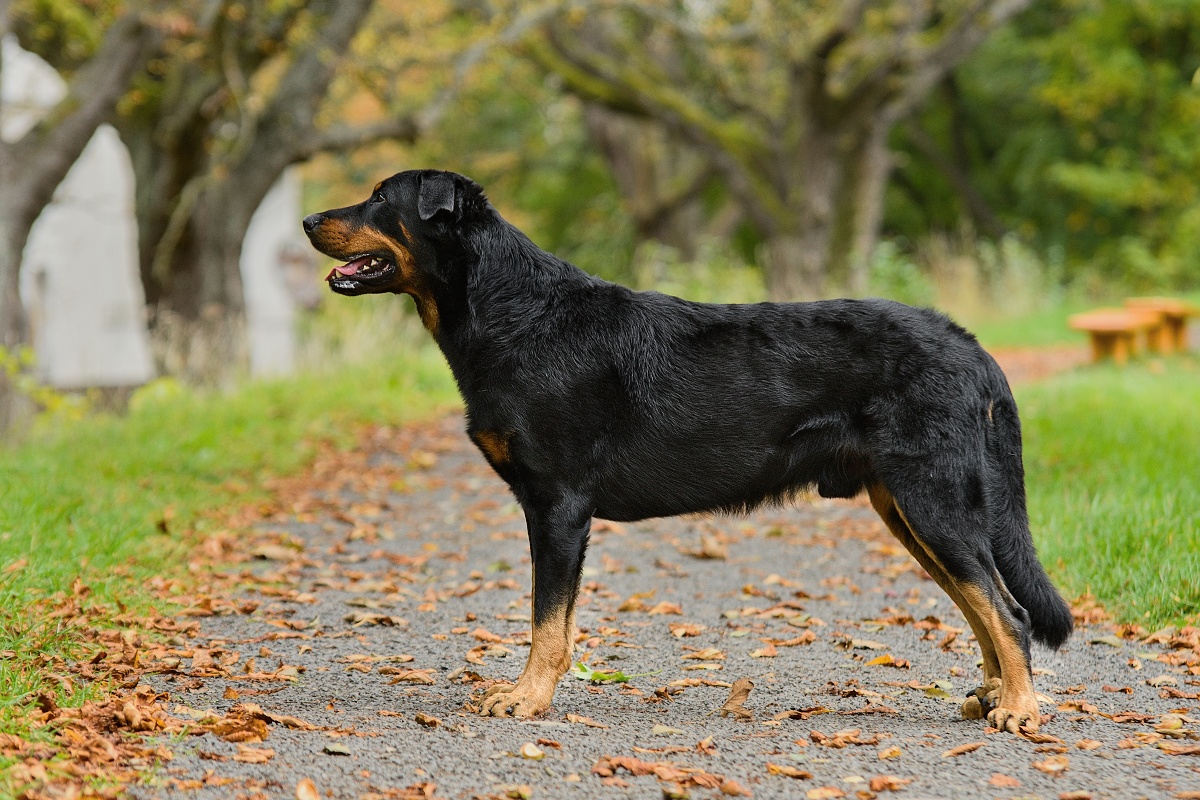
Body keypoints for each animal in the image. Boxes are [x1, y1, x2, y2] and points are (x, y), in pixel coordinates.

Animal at [304, 172, 1075, 734]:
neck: (514, 313)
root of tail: (970, 346)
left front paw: (525, 699)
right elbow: (557, 620)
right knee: (981, 603)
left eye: (381, 197)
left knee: (1007, 611)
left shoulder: (557, 506)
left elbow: (547, 622)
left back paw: (1019, 709)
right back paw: (991, 694)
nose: (310, 221)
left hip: (933, 499)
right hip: (910, 510)